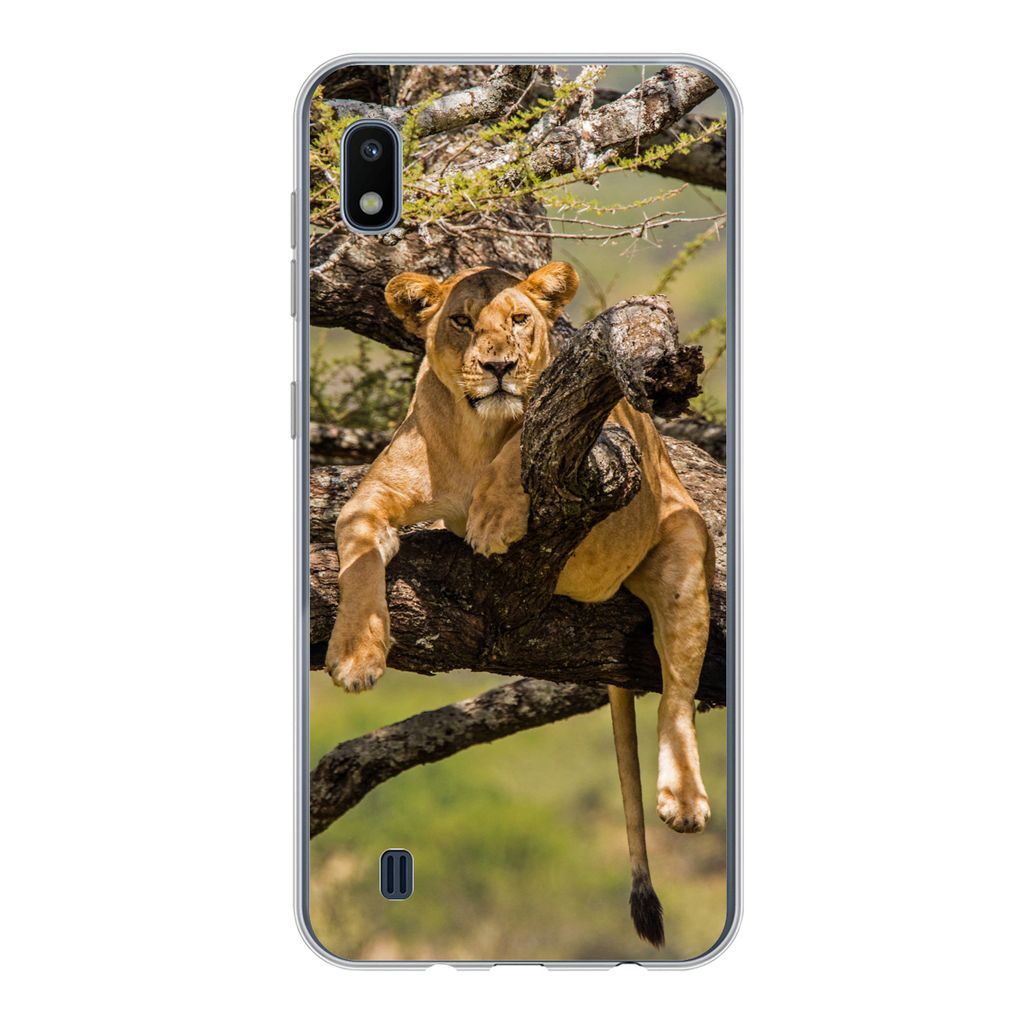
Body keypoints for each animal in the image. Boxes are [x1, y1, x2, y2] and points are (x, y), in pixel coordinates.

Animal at [325, 262, 713, 947]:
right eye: (460, 320)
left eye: (519, 319)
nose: (500, 365)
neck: (476, 433)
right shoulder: (369, 502)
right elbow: (359, 564)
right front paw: (355, 654)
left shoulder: (599, 439)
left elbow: (521, 447)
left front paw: (494, 517)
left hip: (683, 550)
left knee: (677, 693)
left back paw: (684, 799)